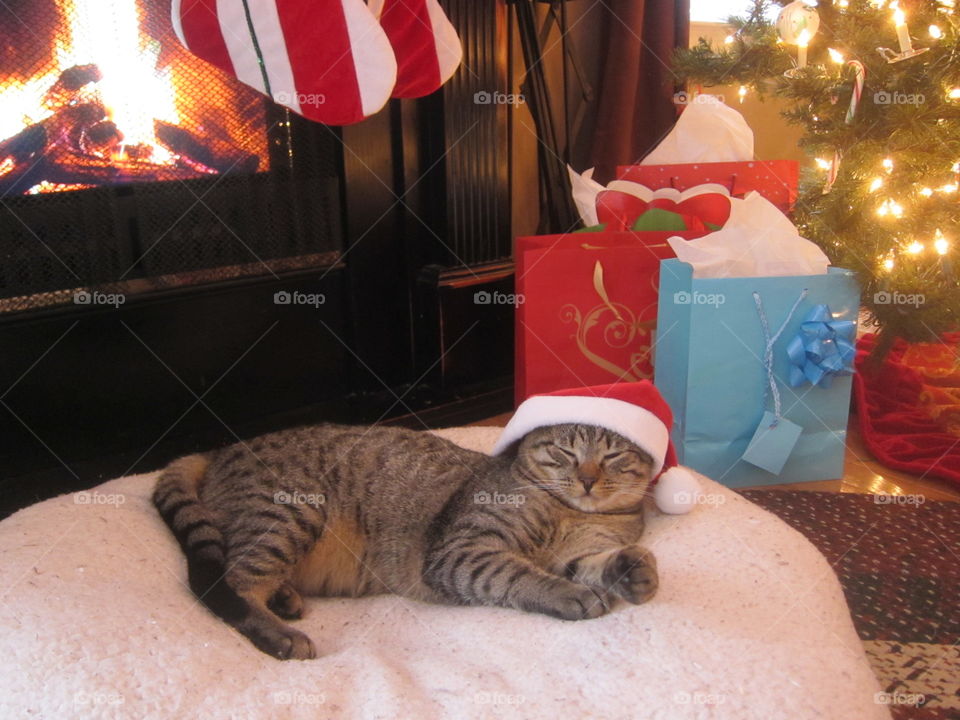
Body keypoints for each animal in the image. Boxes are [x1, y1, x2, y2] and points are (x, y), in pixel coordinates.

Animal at [152, 424, 660, 660]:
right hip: (290, 512)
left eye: (614, 456)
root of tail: (219, 450)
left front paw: (635, 572)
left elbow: (600, 561)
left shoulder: (579, 551)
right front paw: (569, 594)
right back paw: (280, 633)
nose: (588, 479)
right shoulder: (462, 552)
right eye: (564, 451)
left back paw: (284, 598)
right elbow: (518, 574)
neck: (571, 513)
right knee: (229, 583)